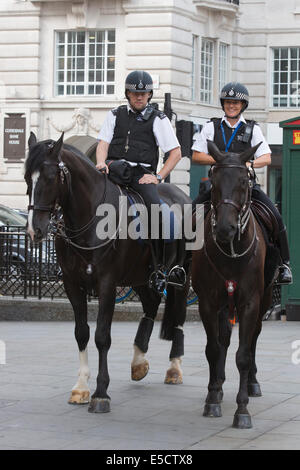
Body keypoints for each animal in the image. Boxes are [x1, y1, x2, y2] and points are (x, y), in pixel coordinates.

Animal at [25, 131, 190, 412]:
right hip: (141, 278)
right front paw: (81, 387)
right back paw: (139, 361)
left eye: (49, 177)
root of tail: (181, 193)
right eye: (27, 177)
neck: (89, 218)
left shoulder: (107, 284)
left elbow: (102, 336)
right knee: (151, 304)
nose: (35, 230)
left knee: (177, 314)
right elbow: (81, 333)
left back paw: (175, 367)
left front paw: (101, 392)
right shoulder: (72, 284)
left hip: (180, 275)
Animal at [192, 140, 278, 430]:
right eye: (215, 181)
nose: (224, 229)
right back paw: (217, 386)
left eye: (244, 181)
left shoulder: (250, 302)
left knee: (252, 340)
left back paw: (252, 383)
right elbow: (213, 348)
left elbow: (243, 354)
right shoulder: (208, 302)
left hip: (263, 300)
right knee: (224, 339)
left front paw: (242, 410)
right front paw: (212, 398)